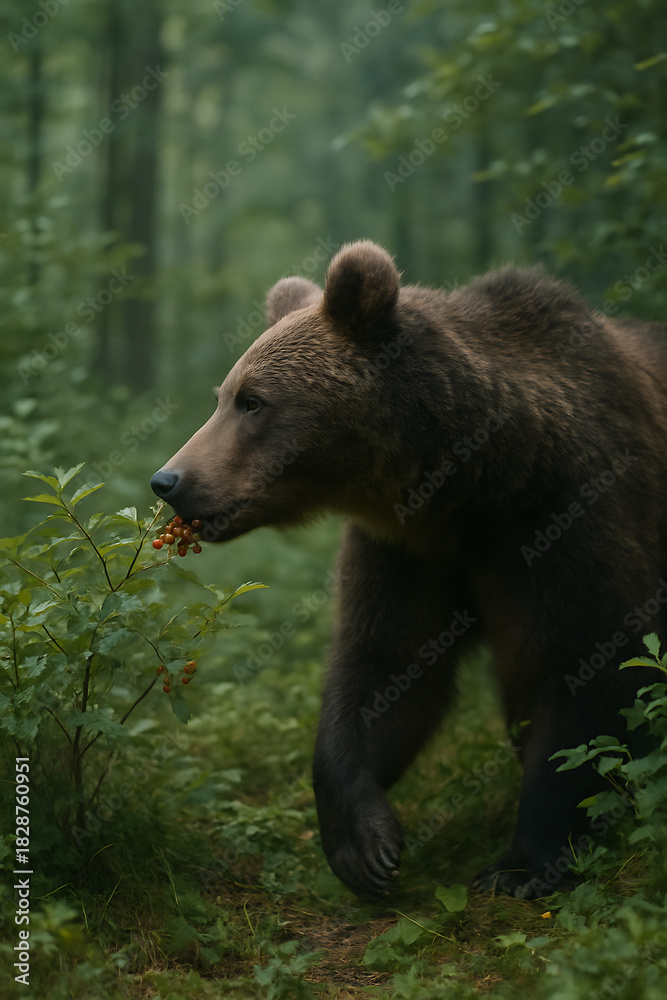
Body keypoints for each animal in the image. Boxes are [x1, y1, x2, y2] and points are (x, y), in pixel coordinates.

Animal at [150, 240, 667, 900]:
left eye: (253, 401)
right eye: (223, 395)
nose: (169, 480)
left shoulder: (572, 513)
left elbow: (595, 668)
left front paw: (521, 865)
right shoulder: (409, 551)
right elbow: (387, 664)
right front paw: (363, 846)